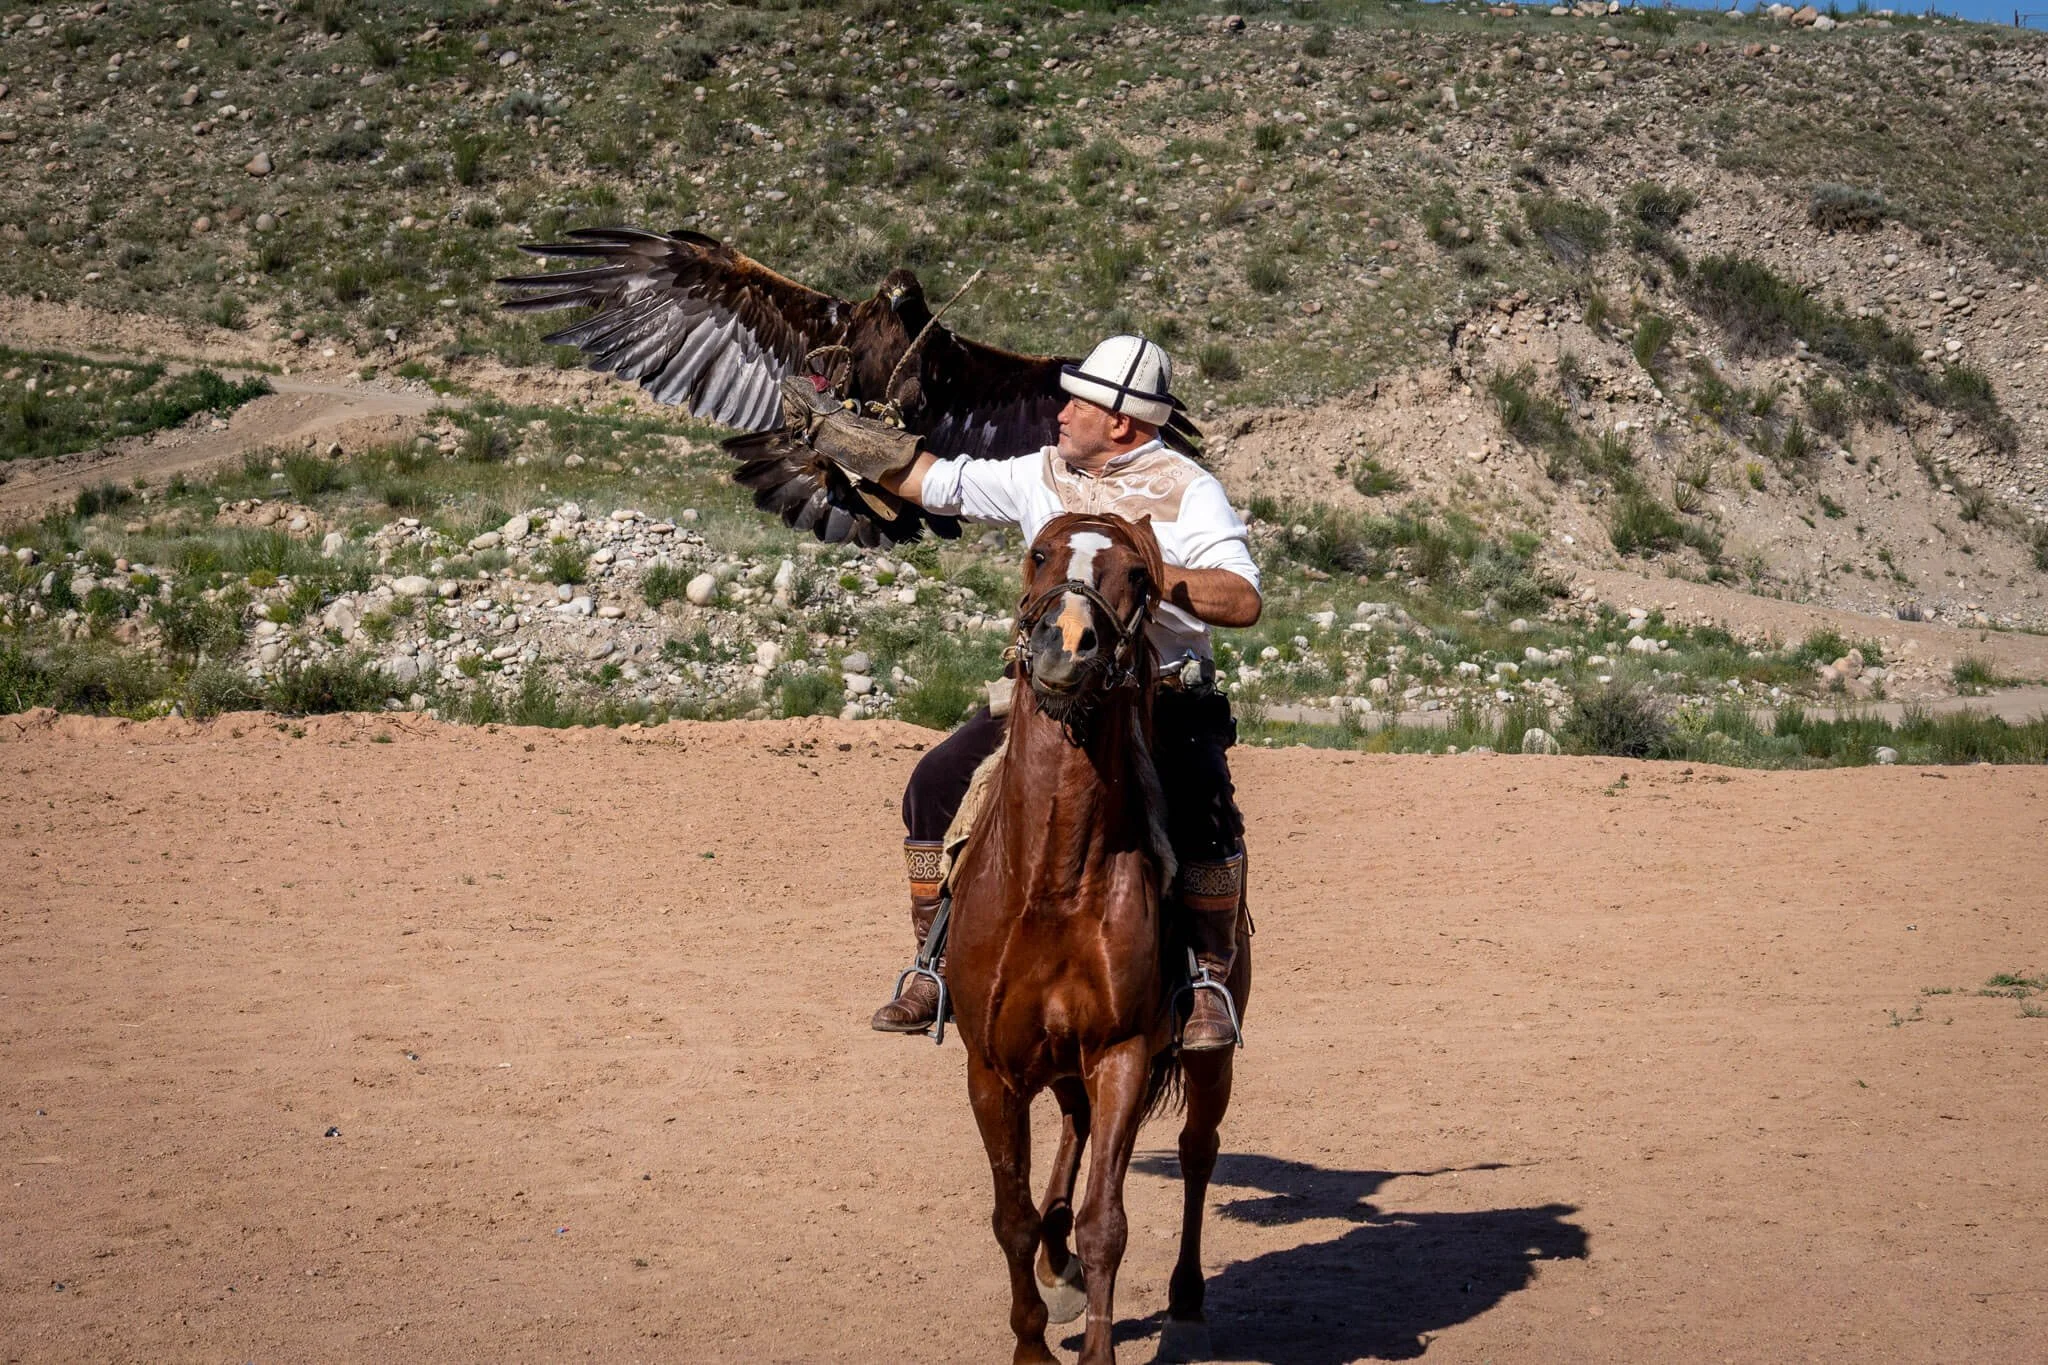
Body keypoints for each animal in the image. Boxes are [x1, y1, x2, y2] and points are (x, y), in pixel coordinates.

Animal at [944, 511, 1251, 1365]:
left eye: (1141, 577)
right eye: (1040, 552)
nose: (1068, 644)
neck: (1053, 880)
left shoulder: (1123, 1051)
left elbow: (1107, 1221)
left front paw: (1097, 1347)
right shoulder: (991, 1066)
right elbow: (1010, 1217)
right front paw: (1032, 1342)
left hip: (1203, 1057)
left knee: (1197, 1149)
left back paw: (1186, 1297)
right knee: (1073, 1137)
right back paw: (1060, 1262)